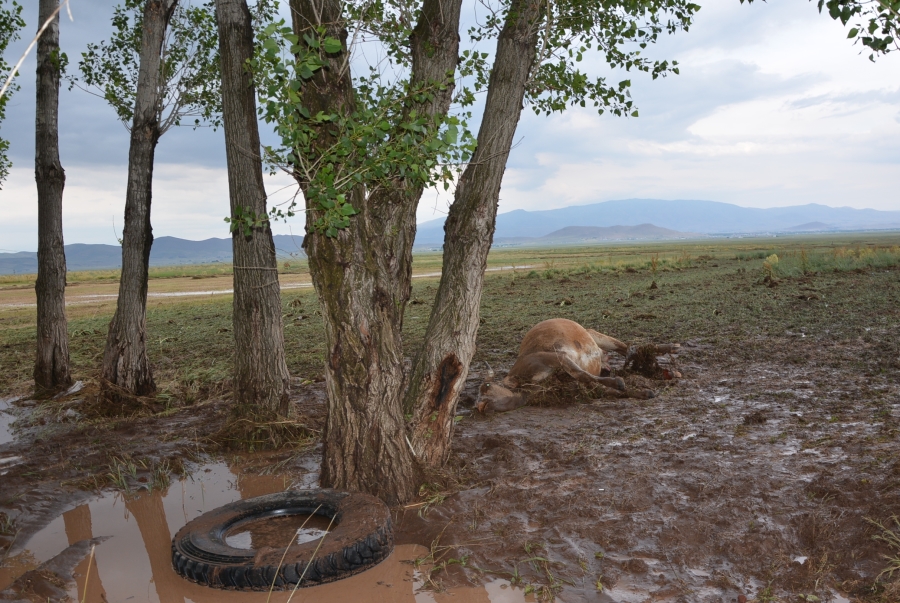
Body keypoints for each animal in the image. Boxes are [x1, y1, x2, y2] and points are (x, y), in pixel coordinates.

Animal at [474, 318, 680, 412]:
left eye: (486, 386)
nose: (479, 405)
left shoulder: (555, 357)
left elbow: (581, 373)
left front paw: (618, 382)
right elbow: (604, 389)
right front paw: (643, 393)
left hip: (596, 336)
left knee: (628, 347)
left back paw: (670, 347)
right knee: (630, 351)